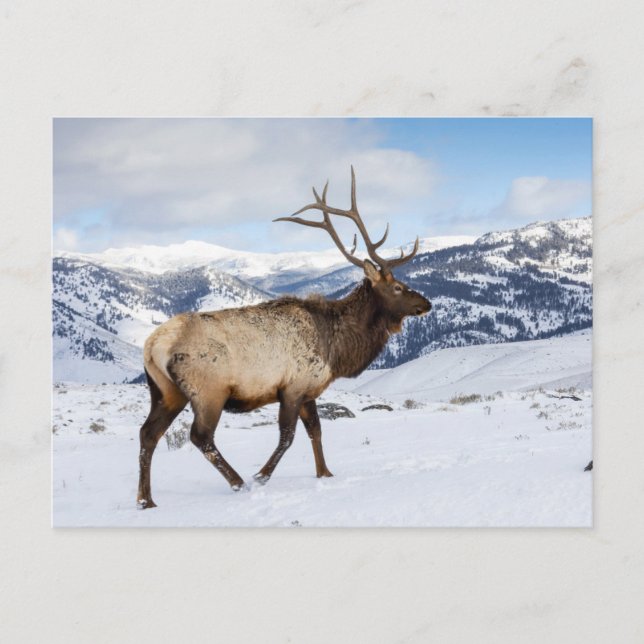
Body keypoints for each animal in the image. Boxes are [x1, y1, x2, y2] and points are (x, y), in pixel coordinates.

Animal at [136, 167, 431, 508]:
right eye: (397, 287)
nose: (427, 303)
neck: (337, 349)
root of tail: (153, 345)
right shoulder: (292, 387)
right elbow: (288, 437)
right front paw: (261, 476)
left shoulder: (309, 390)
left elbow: (316, 430)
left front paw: (325, 473)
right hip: (208, 390)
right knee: (200, 436)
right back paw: (238, 482)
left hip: (165, 391)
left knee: (148, 433)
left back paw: (145, 499)